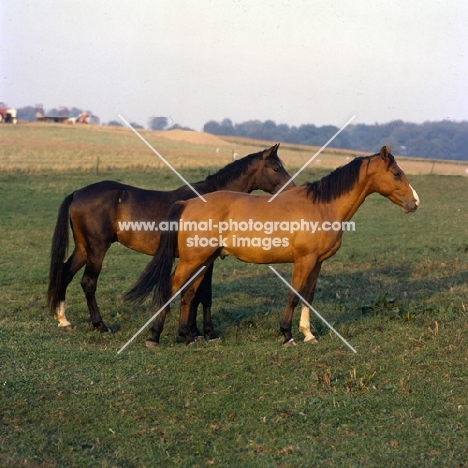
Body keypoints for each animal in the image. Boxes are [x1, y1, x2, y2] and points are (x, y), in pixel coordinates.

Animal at [48, 144, 296, 330]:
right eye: (276, 168)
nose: (292, 191)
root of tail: (77, 193)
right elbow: (201, 294)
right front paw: (203, 332)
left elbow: (196, 294)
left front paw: (194, 331)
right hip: (97, 249)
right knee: (88, 283)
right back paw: (101, 325)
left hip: (84, 248)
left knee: (66, 273)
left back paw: (63, 319)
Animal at [125, 146, 420, 348]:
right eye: (396, 173)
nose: (415, 202)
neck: (322, 206)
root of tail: (189, 203)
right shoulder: (304, 261)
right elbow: (294, 296)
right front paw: (287, 334)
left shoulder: (317, 262)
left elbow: (308, 297)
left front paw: (308, 334)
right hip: (192, 261)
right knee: (171, 288)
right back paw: (155, 336)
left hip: (203, 261)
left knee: (189, 293)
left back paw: (189, 336)